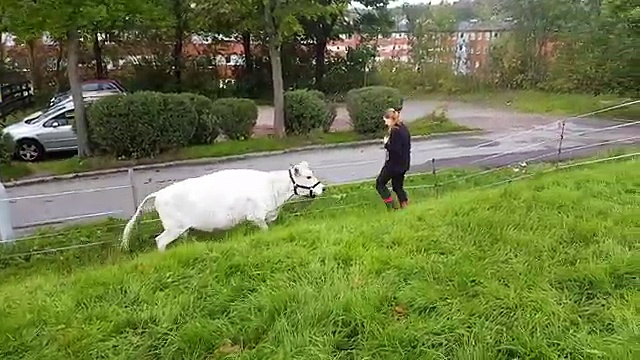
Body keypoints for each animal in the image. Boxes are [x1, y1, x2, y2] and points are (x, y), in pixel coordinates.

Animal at [120, 162, 324, 252]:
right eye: (308, 176)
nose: (322, 188)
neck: (272, 187)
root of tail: (159, 194)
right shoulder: (257, 216)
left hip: (181, 228)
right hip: (173, 228)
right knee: (160, 241)